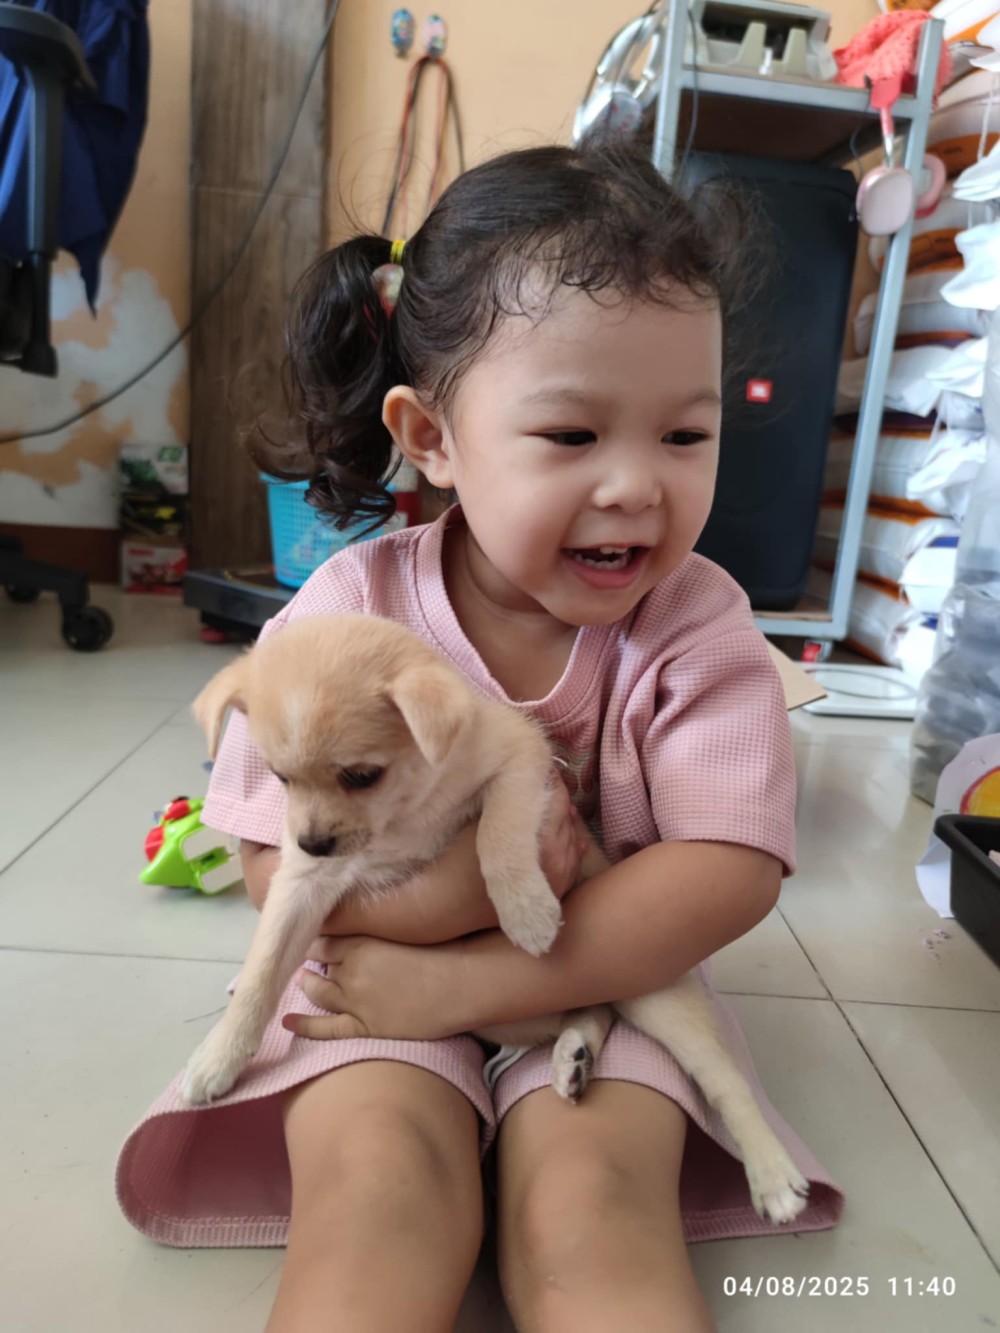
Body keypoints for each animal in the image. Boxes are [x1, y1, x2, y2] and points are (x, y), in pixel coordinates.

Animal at [181, 613, 809, 1226]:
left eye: (361, 775)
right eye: (279, 778)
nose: (310, 843)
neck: (406, 811)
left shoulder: (519, 759)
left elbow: (497, 833)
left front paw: (525, 909)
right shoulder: (300, 887)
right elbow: (261, 976)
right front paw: (217, 1058)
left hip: (657, 996)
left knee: (723, 1079)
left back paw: (773, 1175)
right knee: (594, 1010)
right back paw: (573, 1058)